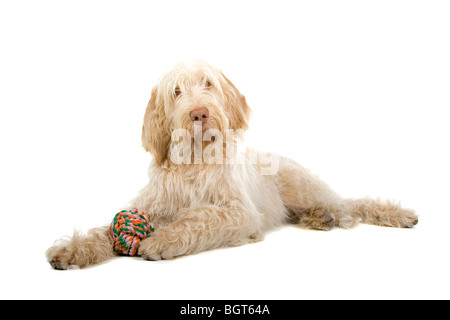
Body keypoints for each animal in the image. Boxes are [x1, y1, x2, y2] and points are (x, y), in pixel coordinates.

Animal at [45, 60, 418, 270]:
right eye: (176, 91)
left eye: (207, 83)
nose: (199, 113)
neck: (194, 162)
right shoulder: (151, 205)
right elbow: (104, 229)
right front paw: (73, 248)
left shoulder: (239, 212)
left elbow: (201, 216)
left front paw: (164, 239)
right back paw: (318, 219)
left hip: (301, 187)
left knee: (349, 206)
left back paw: (340, 215)